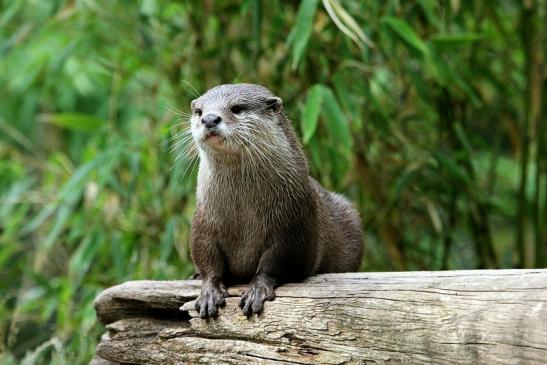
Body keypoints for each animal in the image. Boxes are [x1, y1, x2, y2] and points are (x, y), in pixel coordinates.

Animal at [187, 84, 364, 318]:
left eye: (237, 108)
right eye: (199, 111)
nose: (209, 119)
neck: (242, 213)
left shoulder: (290, 225)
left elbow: (275, 261)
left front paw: (257, 290)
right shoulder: (204, 220)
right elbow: (206, 257)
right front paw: (208, 291)